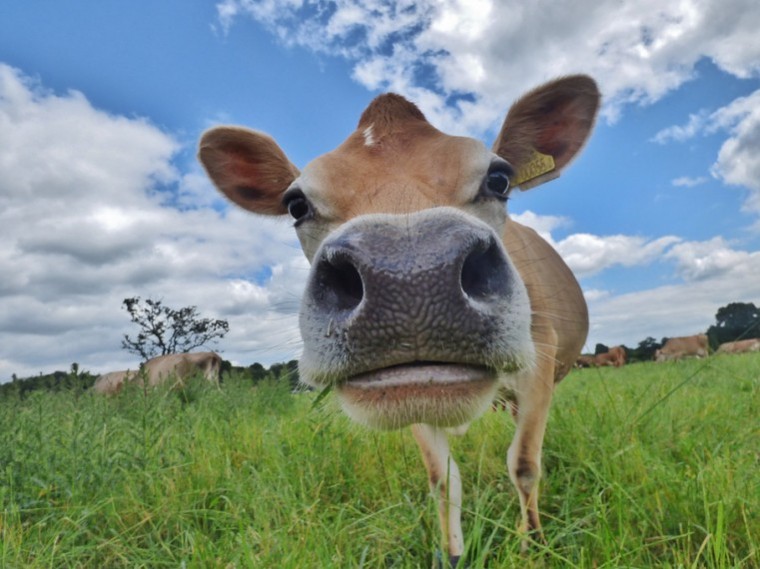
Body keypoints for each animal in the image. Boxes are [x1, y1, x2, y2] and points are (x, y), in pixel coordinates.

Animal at [199, 76, 604, 564]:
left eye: (499, 179)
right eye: (296, 205)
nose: (411, 276)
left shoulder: (540, 364)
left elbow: (524, 464)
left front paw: (534, 547)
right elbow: (443, 480)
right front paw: (452, 554)